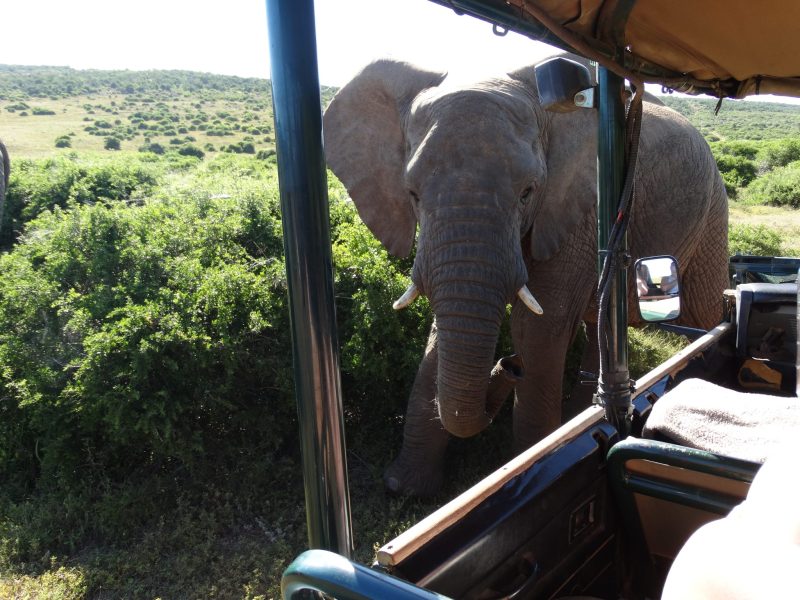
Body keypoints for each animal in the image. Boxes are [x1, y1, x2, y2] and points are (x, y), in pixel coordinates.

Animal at [323, 56, 729, 496]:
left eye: (527, 192)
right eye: (412, 194)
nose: (509, 366)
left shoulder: (577, 207)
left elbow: (536, 326)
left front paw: (536, 463)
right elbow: (443, 328)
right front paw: (406, 487)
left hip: (713, 207)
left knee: (705, 310)